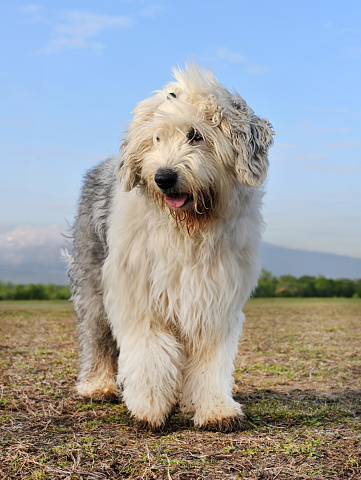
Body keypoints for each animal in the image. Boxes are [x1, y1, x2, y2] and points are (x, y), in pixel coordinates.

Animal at [68, 63, 272, 432]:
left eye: (196, 135)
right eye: (157, 138)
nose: (163, 177)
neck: (187, 231)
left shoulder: (213, 299)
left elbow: (209, 359)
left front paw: (215, 409)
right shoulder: (140, 296)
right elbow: (149, 352)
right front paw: (149, 409)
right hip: (92, 279)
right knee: (97, 336)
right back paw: (97, 385)